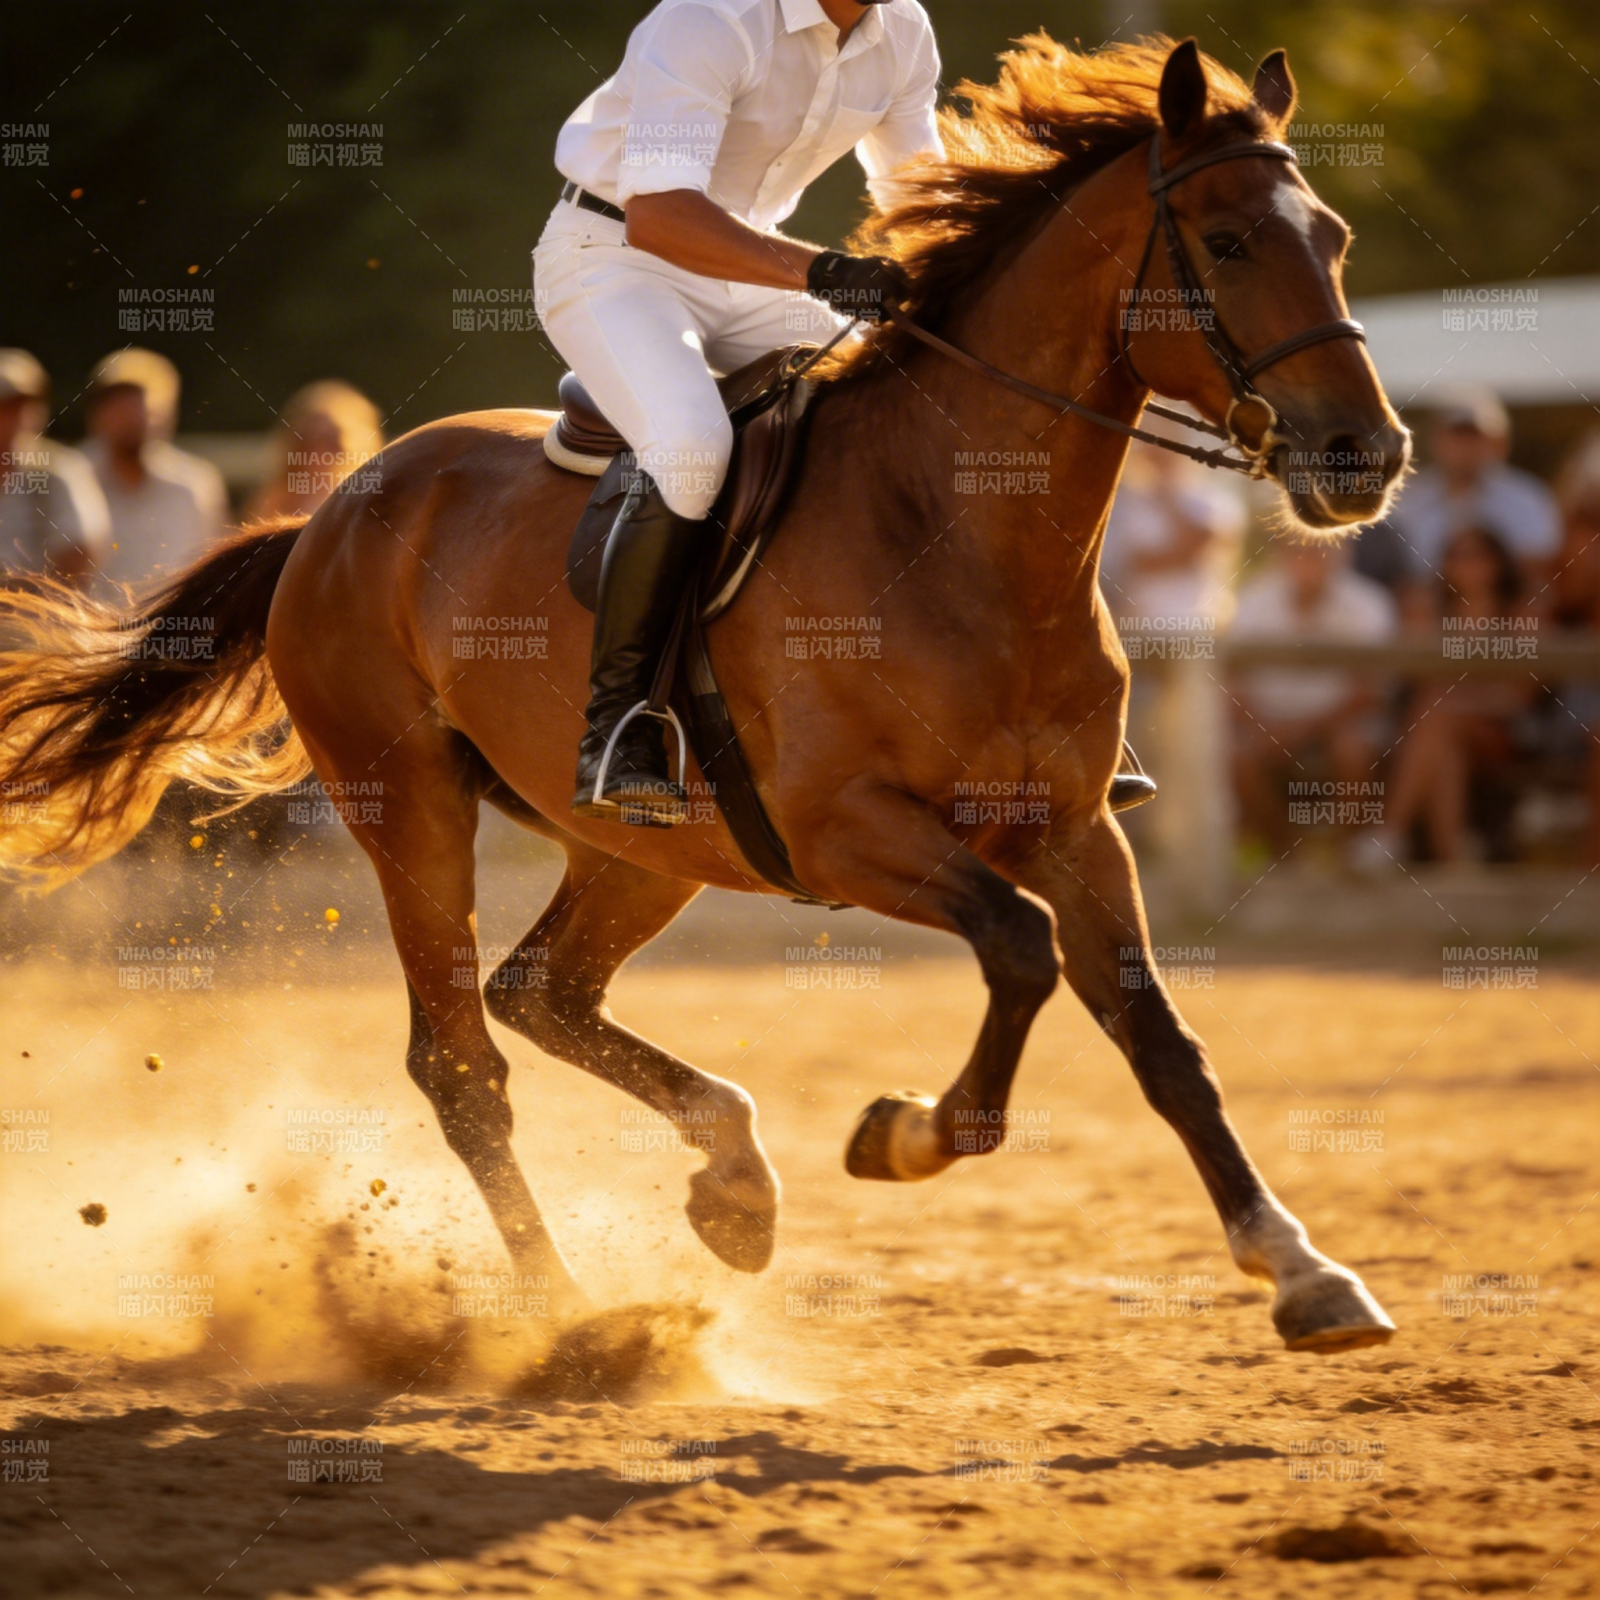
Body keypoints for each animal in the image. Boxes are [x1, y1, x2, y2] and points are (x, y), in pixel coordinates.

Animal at [0, 37, 1410, 1352]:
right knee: (463, 1059)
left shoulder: (1075, 827)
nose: (1367, 455)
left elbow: (1158, 1037)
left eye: (1335, 239)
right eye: (1226, 241)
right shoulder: (847, 830)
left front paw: (1303, 1270)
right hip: (409, 810)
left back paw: (732, 1179)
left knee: (541, 992)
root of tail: (331, 511)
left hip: (645, 846)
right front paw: (903, 1133)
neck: (964, 531)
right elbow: (1017, 948)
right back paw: (571, 1315)